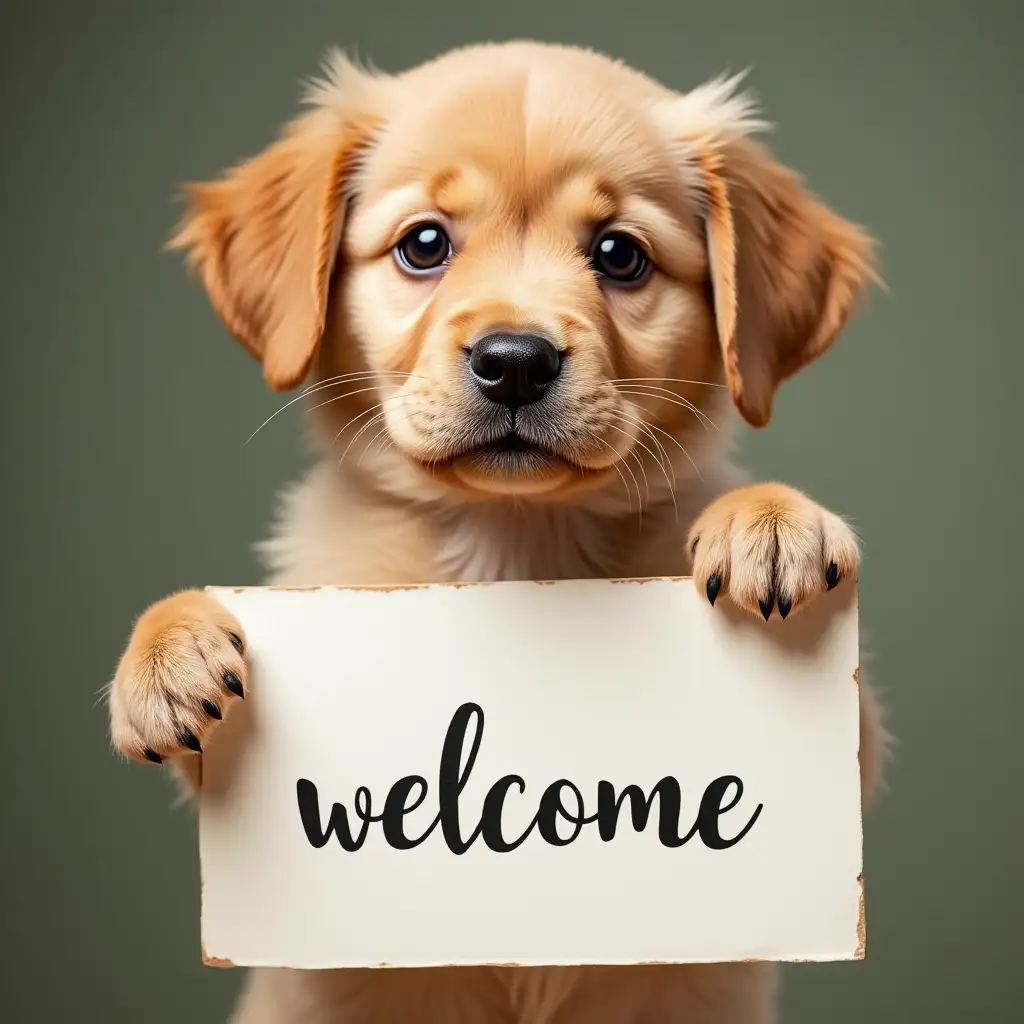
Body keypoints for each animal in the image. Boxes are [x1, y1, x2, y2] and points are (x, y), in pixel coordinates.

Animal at [105, 41, 888, 1024]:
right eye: (425, 244)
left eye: (619, 255)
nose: (515, 362)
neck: (517, 541)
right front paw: (167, 654)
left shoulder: (851, 774)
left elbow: (854, 731)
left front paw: (772, 519)